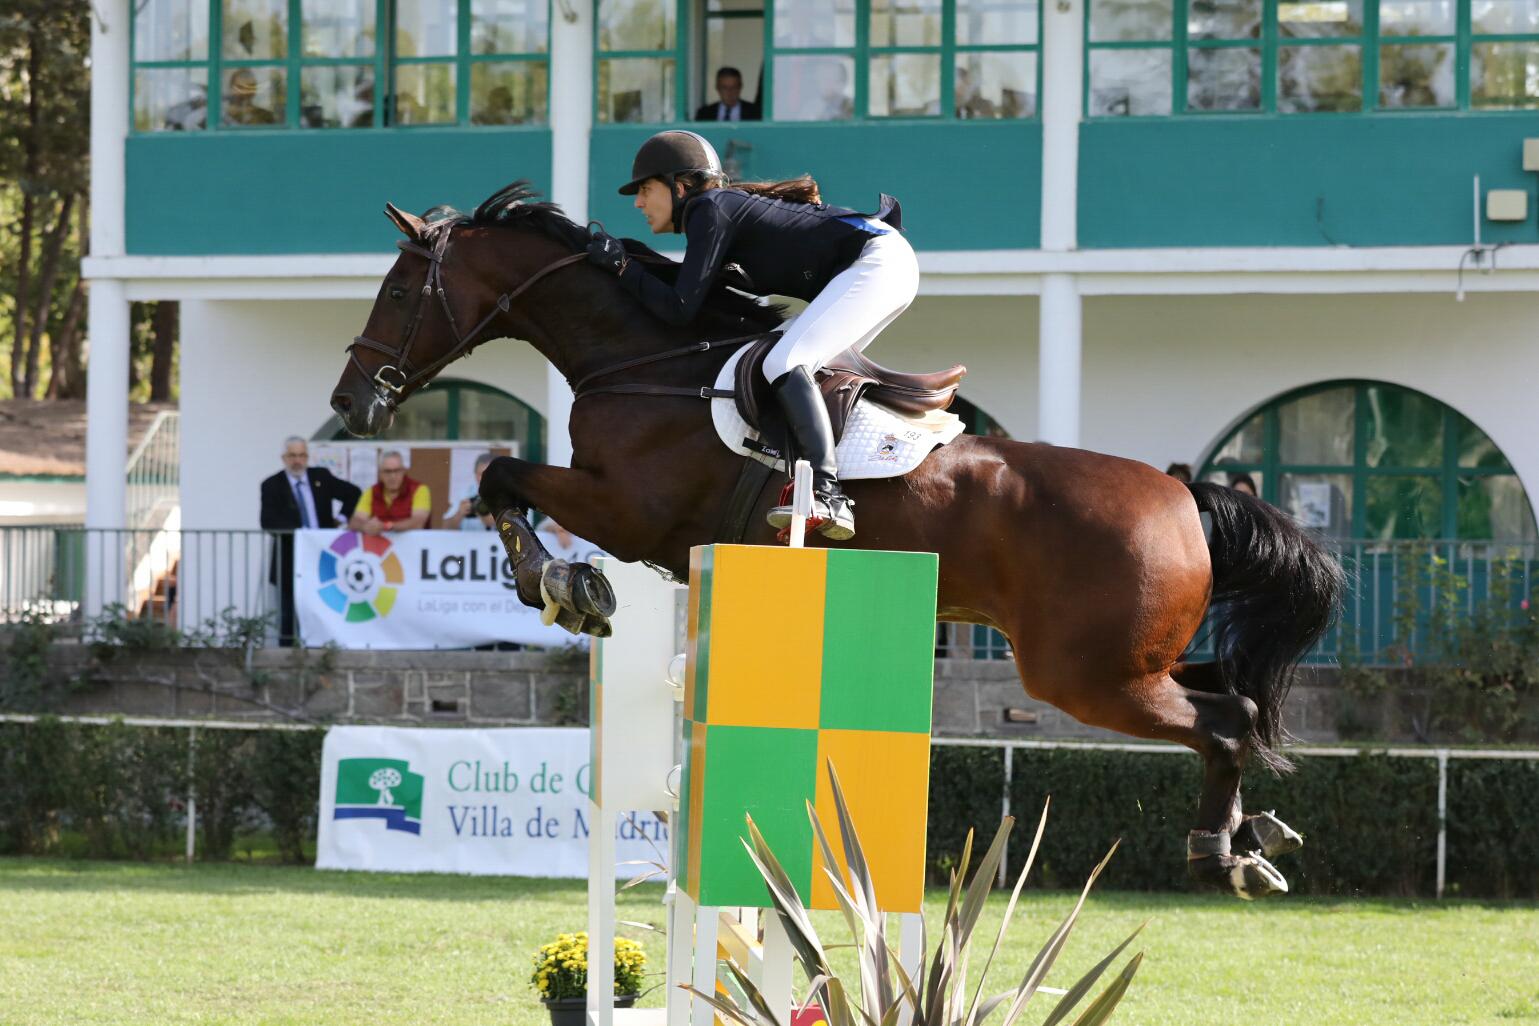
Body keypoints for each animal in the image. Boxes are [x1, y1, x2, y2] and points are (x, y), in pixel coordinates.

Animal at [330, 182, 1342, 898]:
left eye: (398, 289)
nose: (351, 405)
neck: (646, 359)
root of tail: (1182, 495)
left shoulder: (630, 508)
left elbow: (502, 474)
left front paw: (563, 585)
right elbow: (503, 481)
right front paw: (563, 584)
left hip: (1086, 676)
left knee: (1220, 721)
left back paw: (1221, 854)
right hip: (1131, 661)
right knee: (1235, 699)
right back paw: (1257, 838)